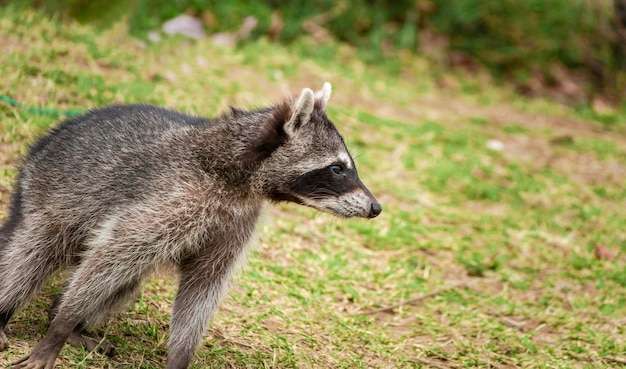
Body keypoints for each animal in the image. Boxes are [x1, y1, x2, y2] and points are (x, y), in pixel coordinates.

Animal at [0, 83, 378, 368]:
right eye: (337, 169)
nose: (376, 207)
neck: (235, 174)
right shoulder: (173, 198)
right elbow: (112, 252)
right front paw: (59, 329)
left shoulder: (237, 221)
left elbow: (203, 286)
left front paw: (179, 355)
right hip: (47, 194)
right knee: (30, 256)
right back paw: (21, 313)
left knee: (123, 283)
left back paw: (64, 317)